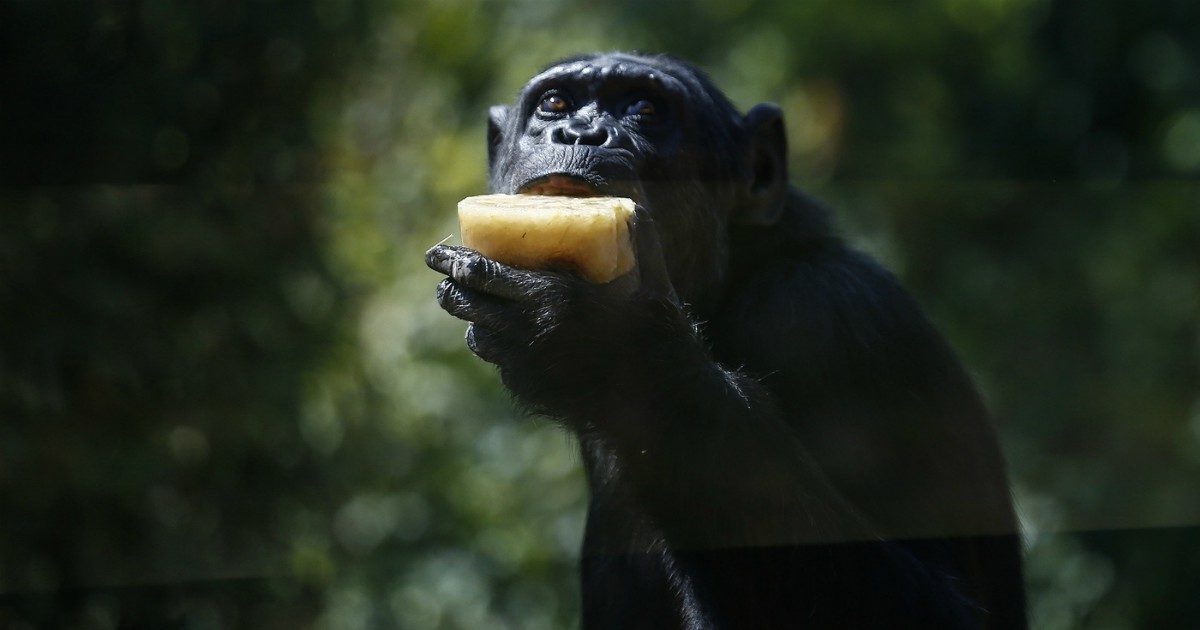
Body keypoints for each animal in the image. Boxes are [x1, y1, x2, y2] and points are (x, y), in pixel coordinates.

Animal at [427, 51, 1027, 624]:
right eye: (554, 103)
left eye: (645, 110)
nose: (579, 132)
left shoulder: (836, 321)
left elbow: (947, 605)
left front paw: (615, 349)